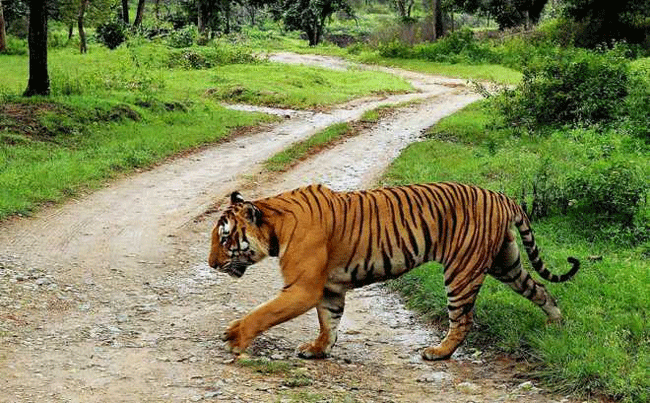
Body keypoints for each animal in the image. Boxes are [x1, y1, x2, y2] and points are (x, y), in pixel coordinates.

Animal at [208, 182, 576, 360]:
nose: (210, 264)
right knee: (541, 290)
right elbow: (329, 321)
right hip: (506, 262)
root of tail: (502, 196)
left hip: (462, 271)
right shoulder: (329, 289)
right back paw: (556, 325)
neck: (275, 225)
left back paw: (438, 352)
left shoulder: (302, 288)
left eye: (225, 238)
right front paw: (319, 349)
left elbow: (263, 313)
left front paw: (235, 336)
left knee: (463, 320)